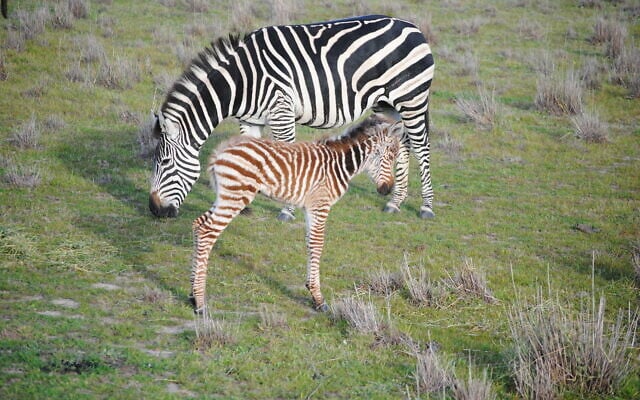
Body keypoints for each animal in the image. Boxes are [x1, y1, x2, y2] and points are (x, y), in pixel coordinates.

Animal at [149, 14, 435, 221]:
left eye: (164, 162)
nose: (154, 210)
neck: (241, 82)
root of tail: (413, 27)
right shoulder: (250, 119)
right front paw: (243, 204)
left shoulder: (281, 112)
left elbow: (287, 156)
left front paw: (287, 210)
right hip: (387, 105)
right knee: (401, 144)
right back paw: (395, 202)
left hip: (412, 99)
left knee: (422, 148)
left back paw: (426, 207)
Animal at [191, 114, 403, 312]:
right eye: (389, 156)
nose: (387, 190)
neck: (339, 164)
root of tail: (221, 149)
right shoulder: (320, 205)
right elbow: (318, 244)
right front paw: (318, 299)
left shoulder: (311, 208)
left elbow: (310, 243)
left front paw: (312, 291)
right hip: (234, 198)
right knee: (207, 232)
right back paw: (200, 303)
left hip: (224, 197)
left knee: (198, 225)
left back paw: (192, 295)